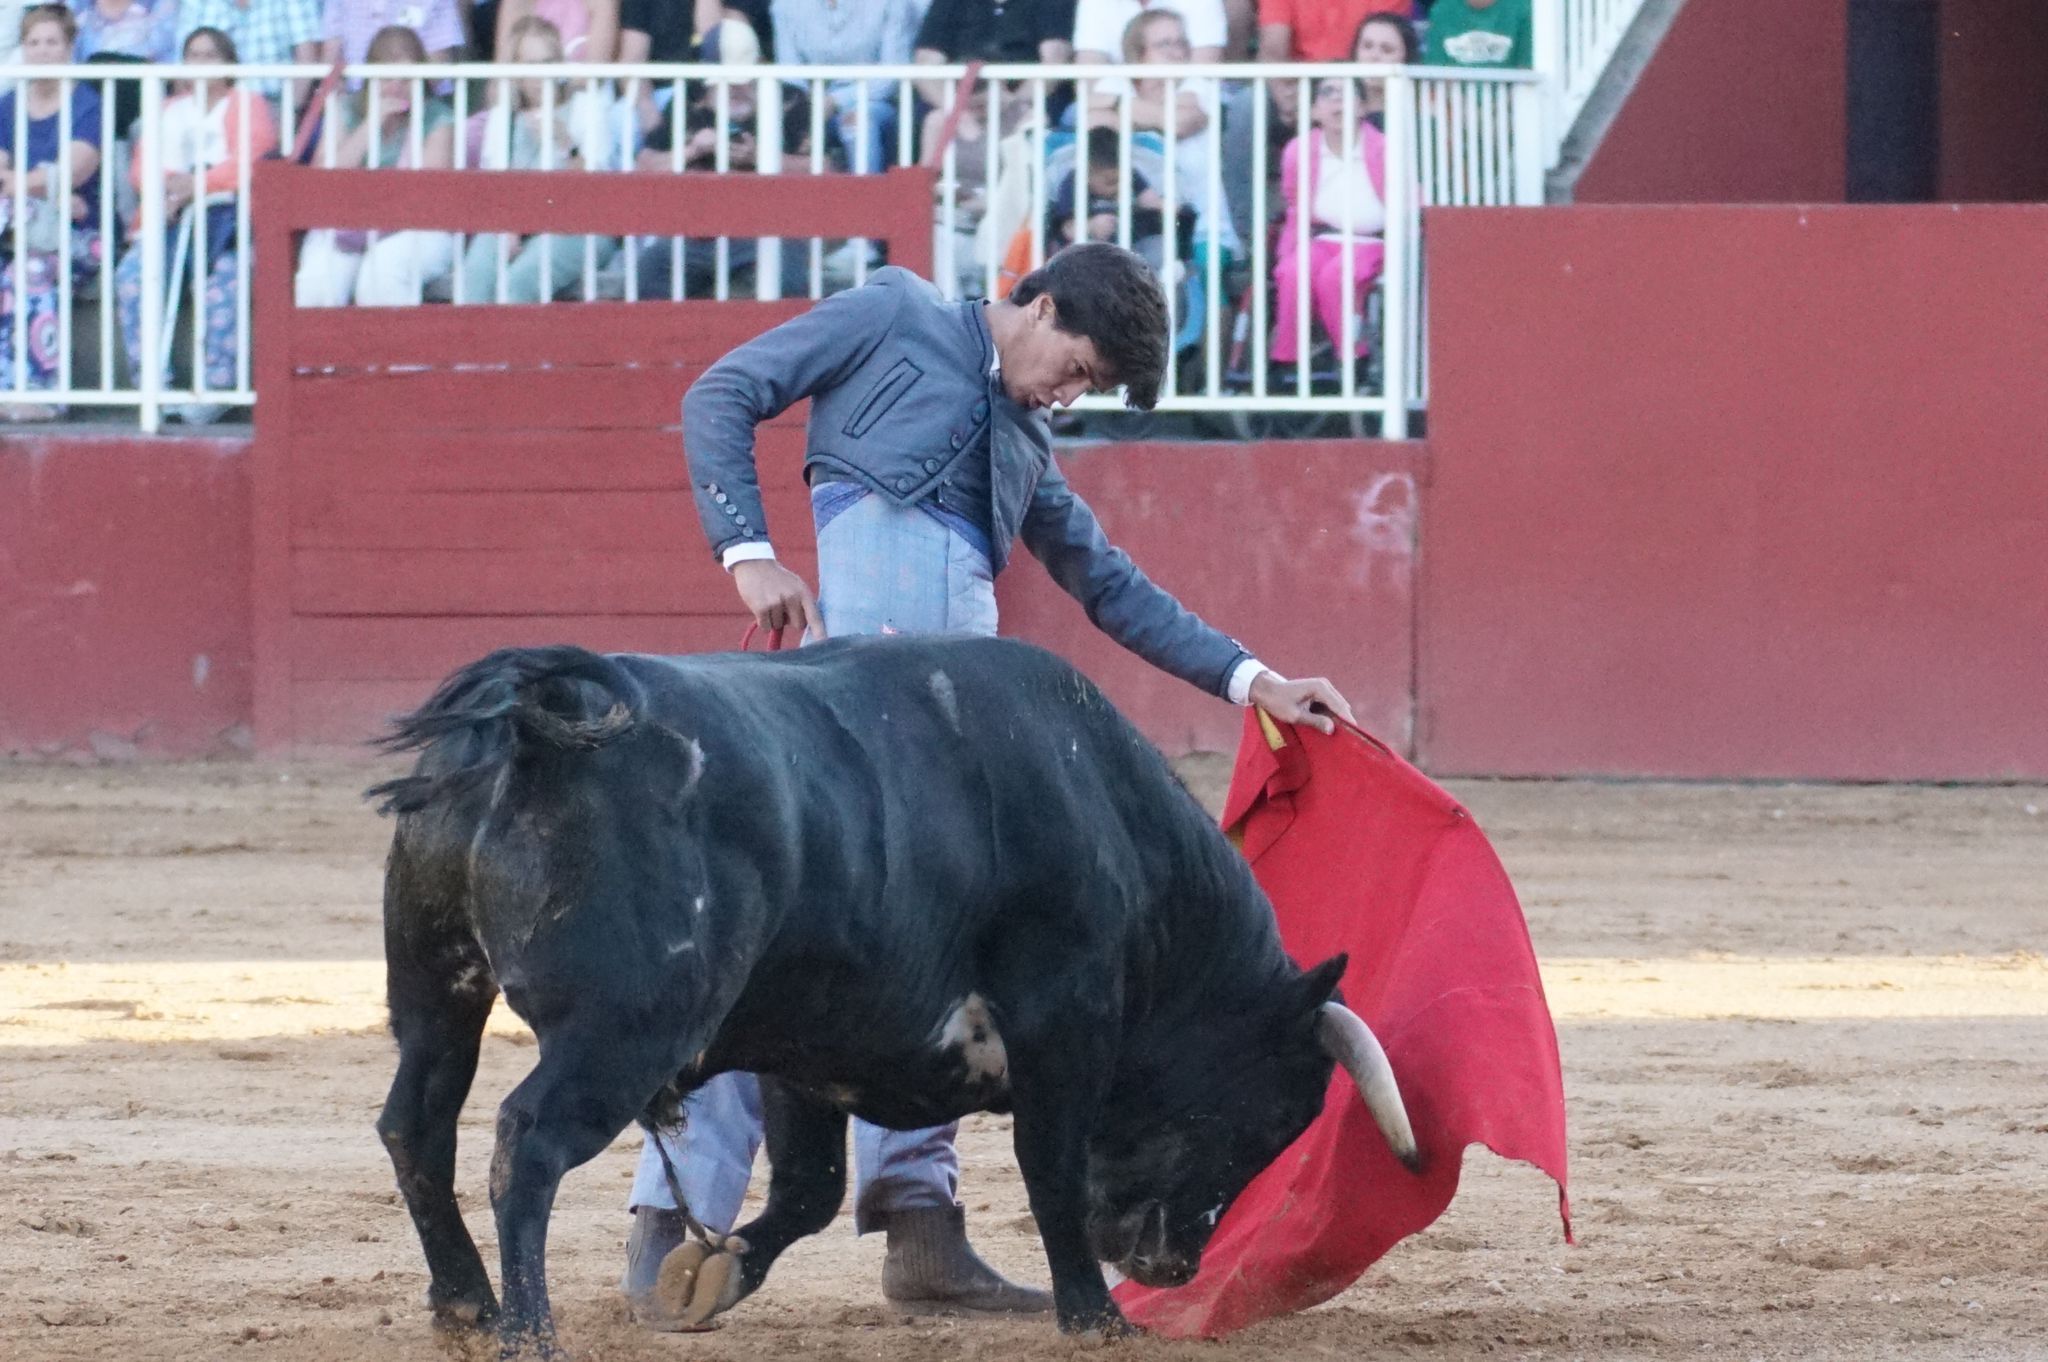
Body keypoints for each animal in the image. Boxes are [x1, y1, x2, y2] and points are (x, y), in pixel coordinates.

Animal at [368, 639, 1417, 1351]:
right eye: (1269, 1117)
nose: (1174, 1267)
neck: (1113, 824)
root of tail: (538, 712)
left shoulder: (803, 1043)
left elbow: (812, 1189)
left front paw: (714, 1276)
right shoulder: (1064, 1025)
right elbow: (1049, 1171)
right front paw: (1095, 1315)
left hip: (435, 993)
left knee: (417, 1124)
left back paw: (468, 1304)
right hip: (624, 1031)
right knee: (527, 1143)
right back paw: (527, 1330)